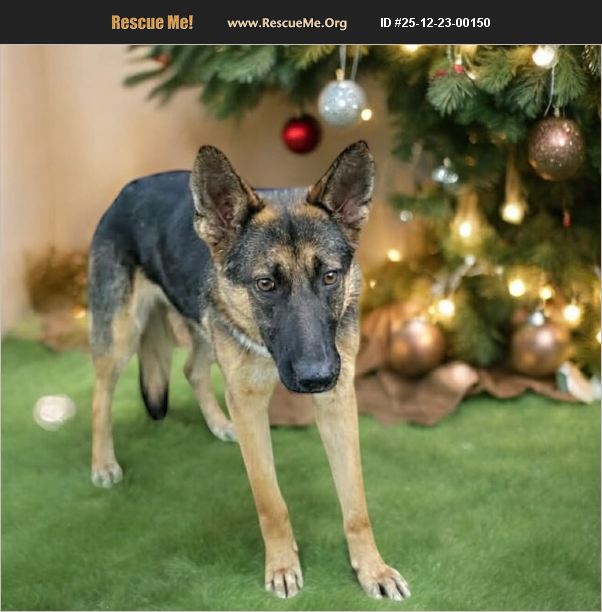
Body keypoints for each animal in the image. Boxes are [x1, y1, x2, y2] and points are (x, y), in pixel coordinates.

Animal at [88, 141, 410, 601]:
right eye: (265, 284)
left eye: (330, 277)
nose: (317, 377)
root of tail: (126, 191)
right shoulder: (249, 403)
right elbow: (270, 501)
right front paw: (282, 566)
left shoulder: (337, 401)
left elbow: (356, 504)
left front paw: (371, 569)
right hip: (120, 339)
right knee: (101, 397)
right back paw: (103, 463)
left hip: (204, 332)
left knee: (191, 369)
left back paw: (220, 424)